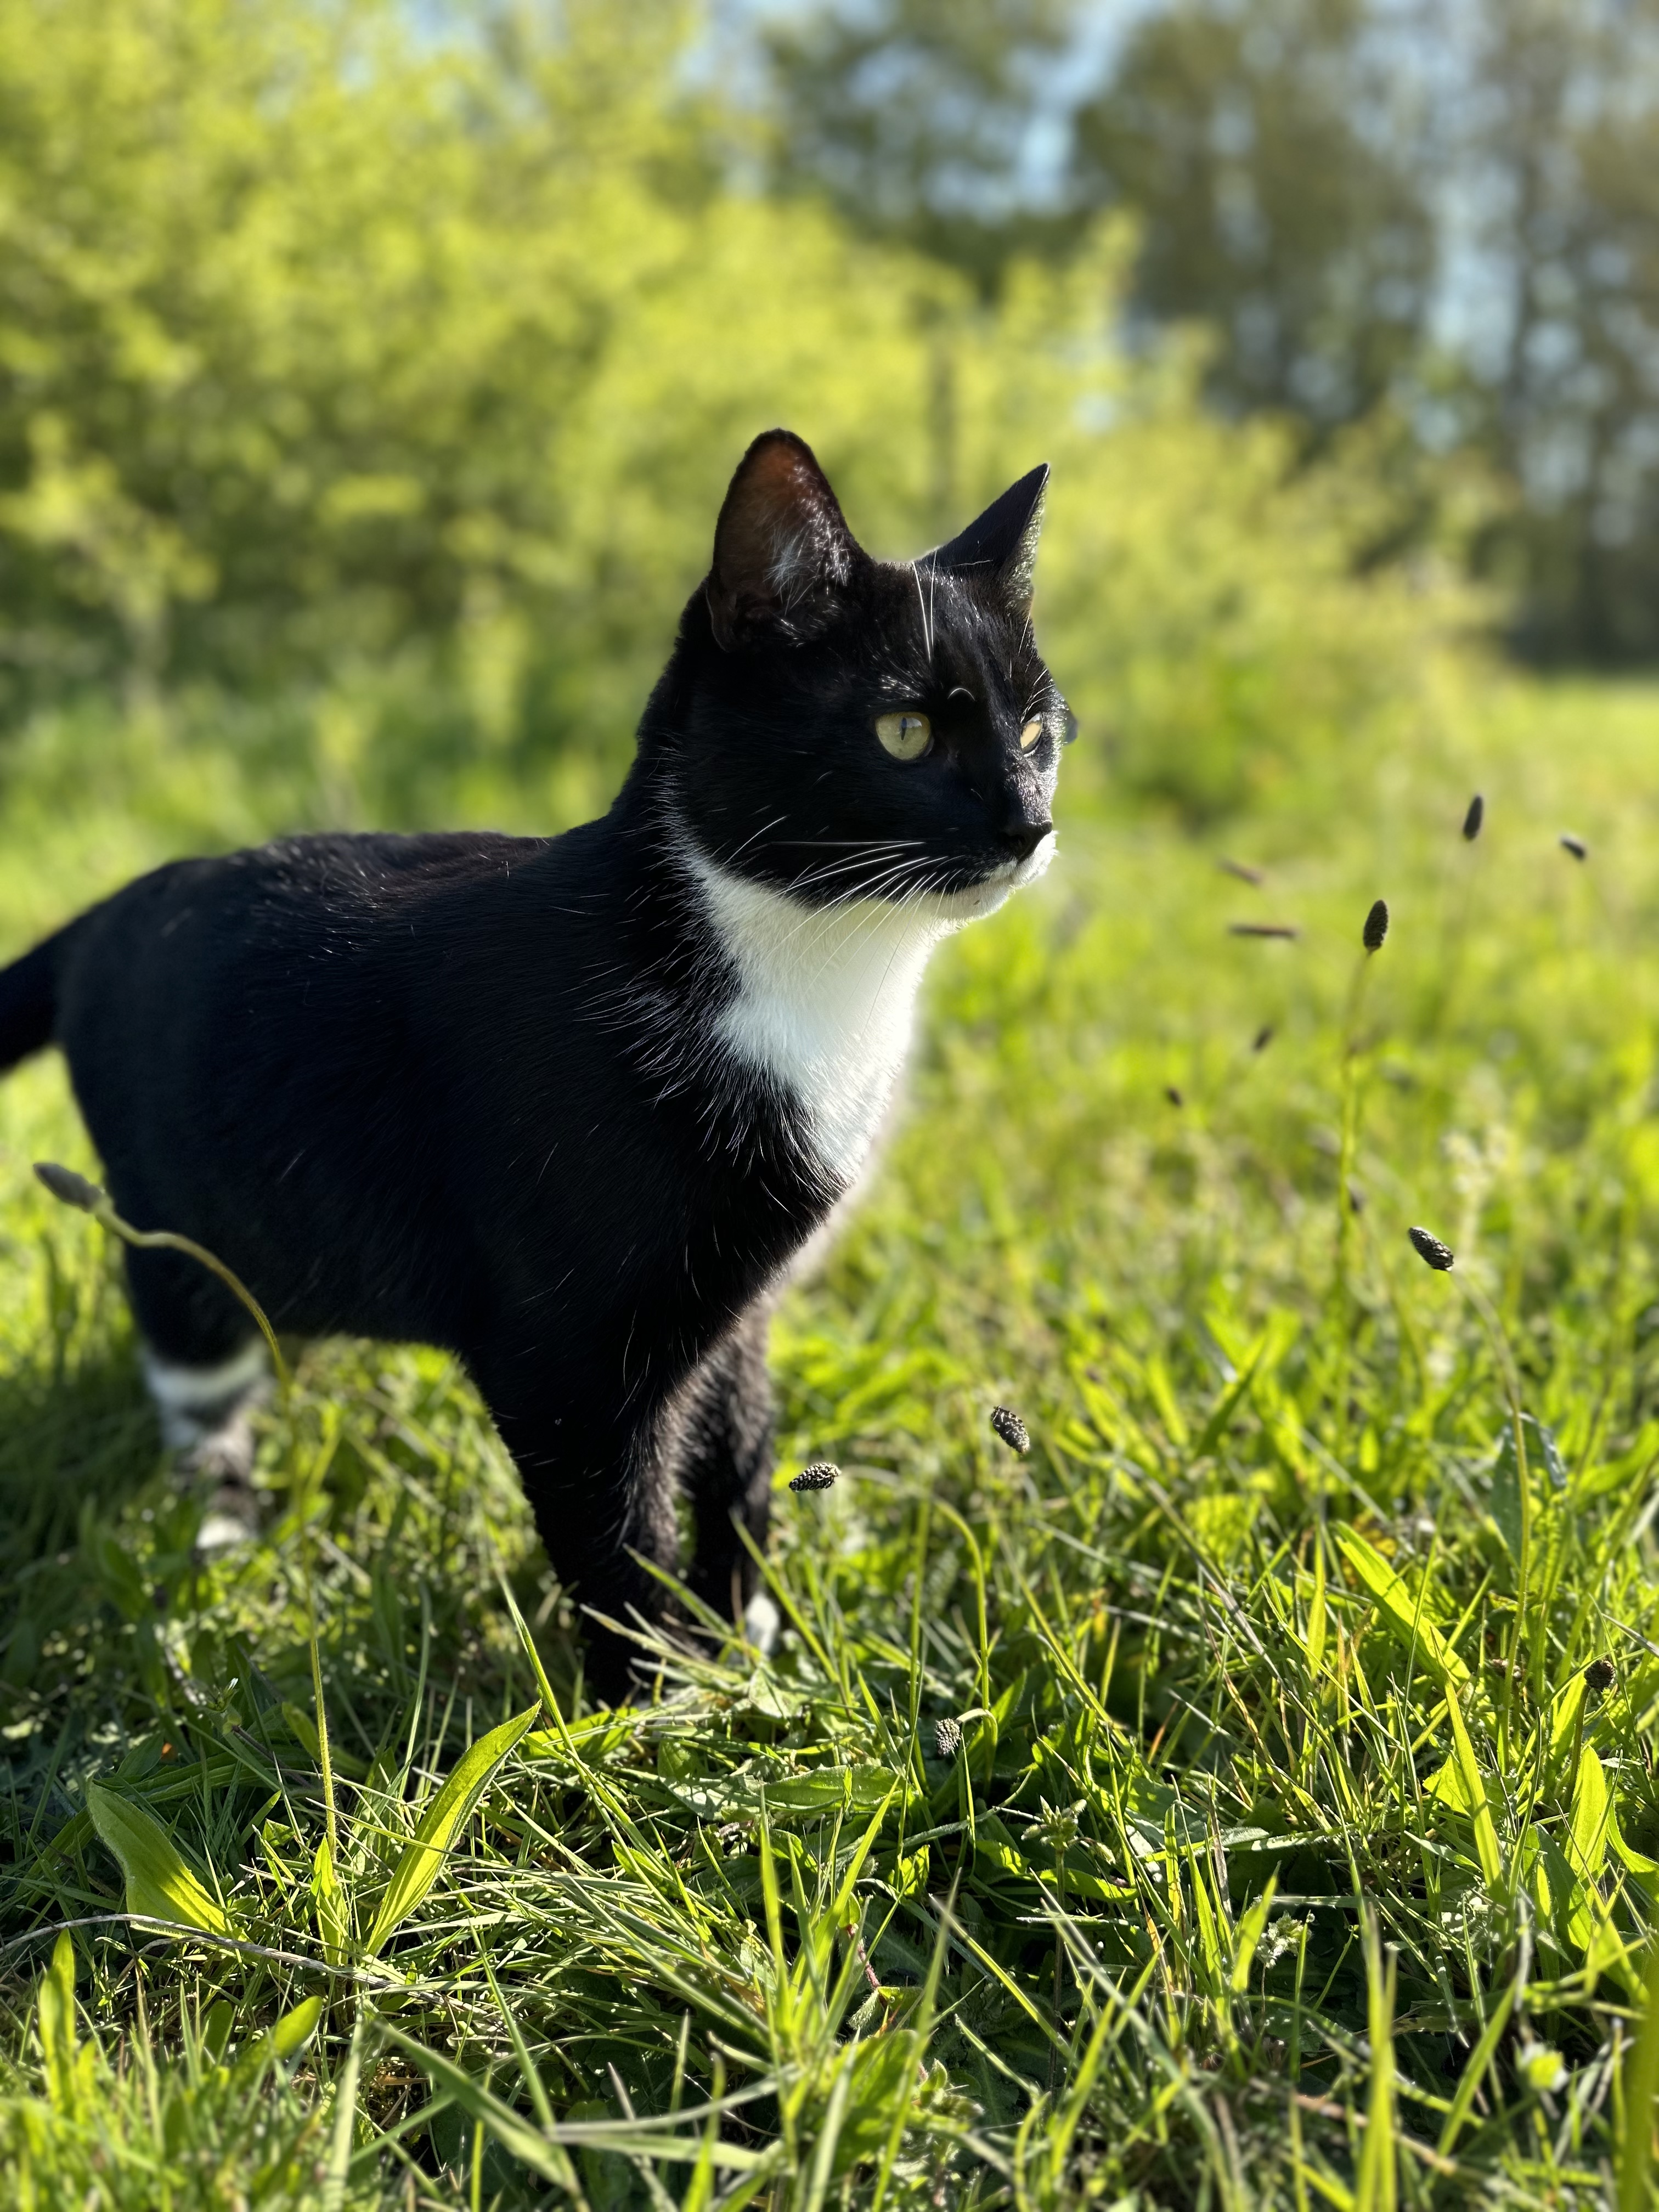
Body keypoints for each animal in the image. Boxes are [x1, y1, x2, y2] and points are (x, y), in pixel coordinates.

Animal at [0, 431, 1066, 1690]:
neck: (813, 979)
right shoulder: (563, 1358)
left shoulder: (736, 1305)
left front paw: (744, 1631)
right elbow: (615, 1534)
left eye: (1042, 734)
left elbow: (741, 1449)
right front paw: (658, 1706)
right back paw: (220, 1533)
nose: (1030, 824)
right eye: (907, 729)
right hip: (180, 1241)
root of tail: (103, 911)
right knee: (196, 1382)